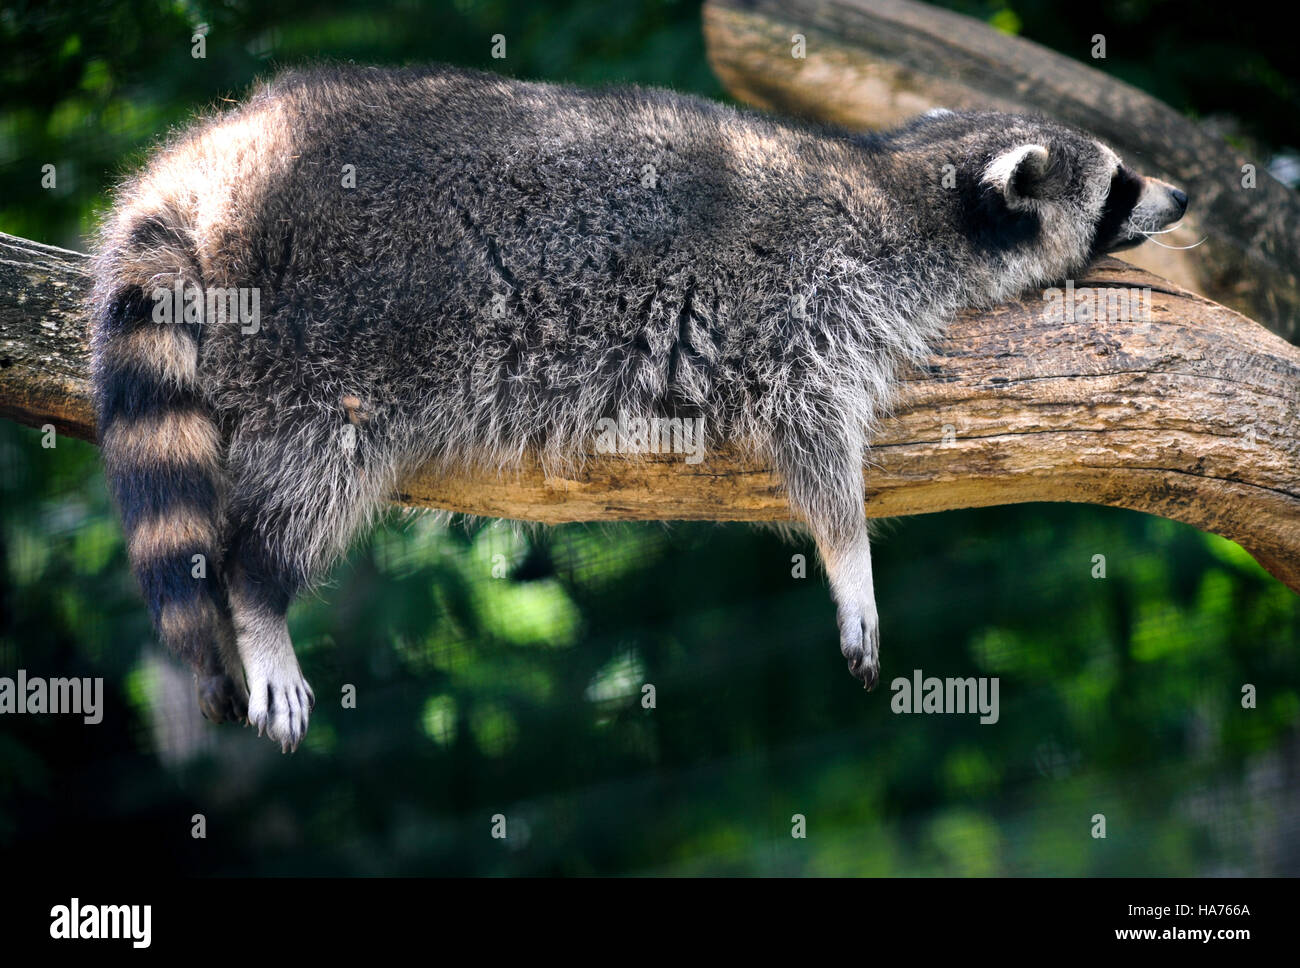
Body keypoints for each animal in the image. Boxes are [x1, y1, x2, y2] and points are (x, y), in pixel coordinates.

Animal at [89, 64, 1190, 753]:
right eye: (1119, 182)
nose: (1182, 197)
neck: (898, 183)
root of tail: (217, 157)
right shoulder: (808, 306)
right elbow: (815, 448)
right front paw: (851, 564)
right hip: (332, 334)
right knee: (312, 479)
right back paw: (260, 594)